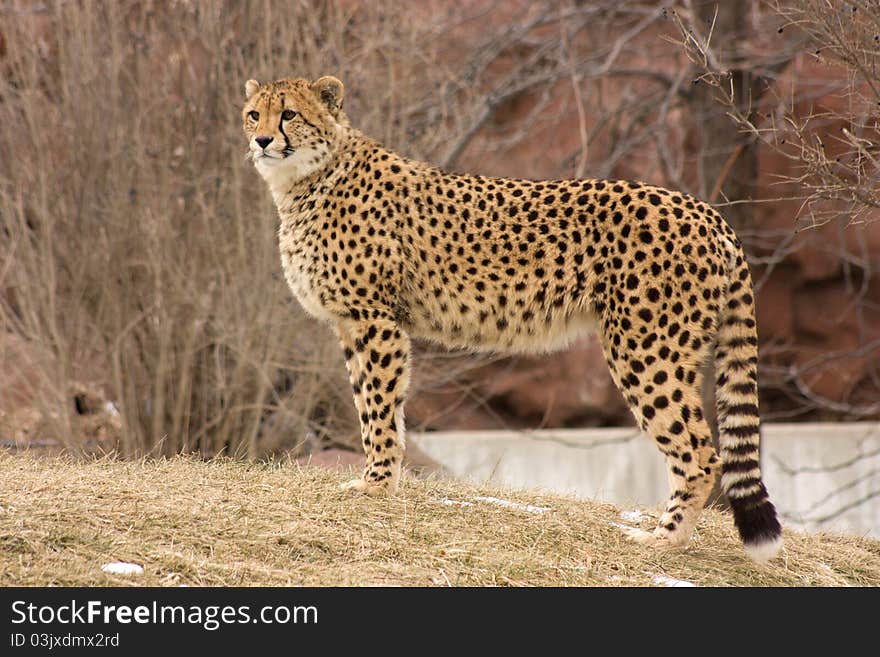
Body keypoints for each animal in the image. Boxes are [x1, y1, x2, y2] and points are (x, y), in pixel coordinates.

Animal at [242, 75, 784, 560]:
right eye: (253, 114)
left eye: (289, 114)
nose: (262, 140)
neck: (308, 178)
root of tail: (705, 210)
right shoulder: (355, 324)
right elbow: (376, 407)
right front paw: (383, 480)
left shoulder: (373, 319)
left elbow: (377, 407)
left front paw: (375, 485)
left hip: (647, 350)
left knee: (700, 451)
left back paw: (664, 540)